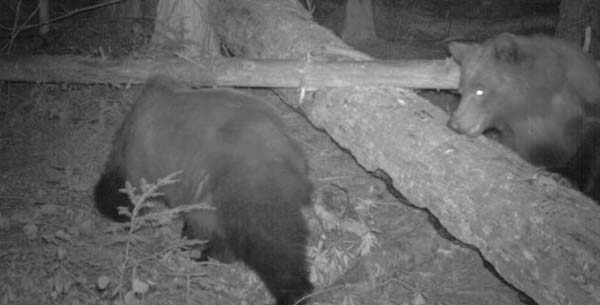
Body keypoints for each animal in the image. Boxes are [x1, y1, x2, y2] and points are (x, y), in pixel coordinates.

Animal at [448, 32, 600, 202]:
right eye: (461, 91)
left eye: (480, 90)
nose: (454, 124)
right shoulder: (519, 136)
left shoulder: (583, 107)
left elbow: (589, 146)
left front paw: (561, 175)